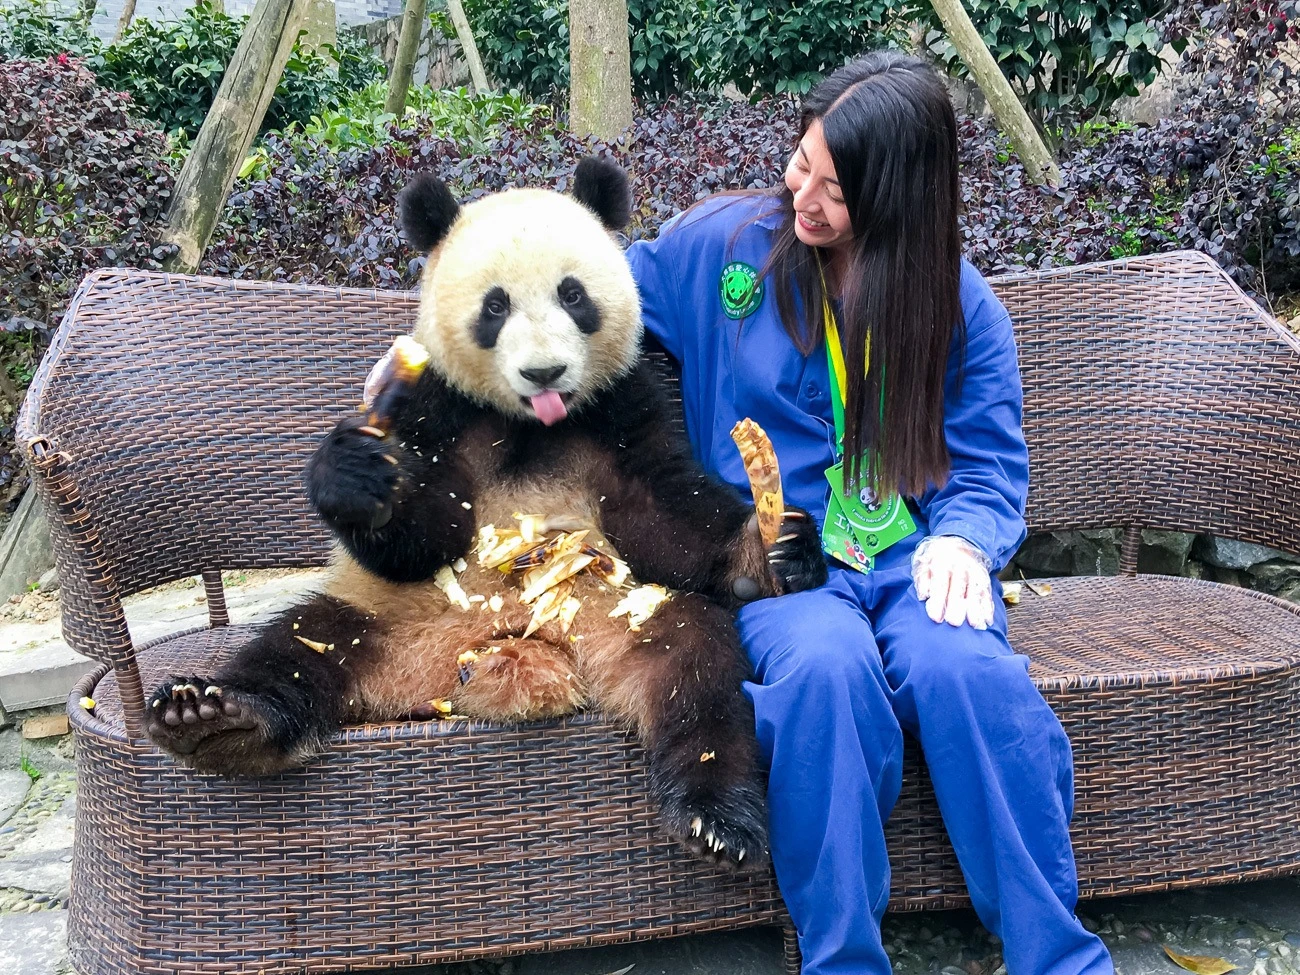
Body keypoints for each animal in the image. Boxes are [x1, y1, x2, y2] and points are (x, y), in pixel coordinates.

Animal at [144, 157, 827, 868]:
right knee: (301, 644)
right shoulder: (435, 408)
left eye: (573, 296)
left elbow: (662, 515)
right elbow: (421, 534)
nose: (545, 372)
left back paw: (716, 819)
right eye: (494, 307)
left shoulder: (620, 407)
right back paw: (215, 720)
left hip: (623, 612)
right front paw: (356, 474)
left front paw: (773, 548)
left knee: (697, 670)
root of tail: (494, 655)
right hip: (388, 614)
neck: (529, 424)